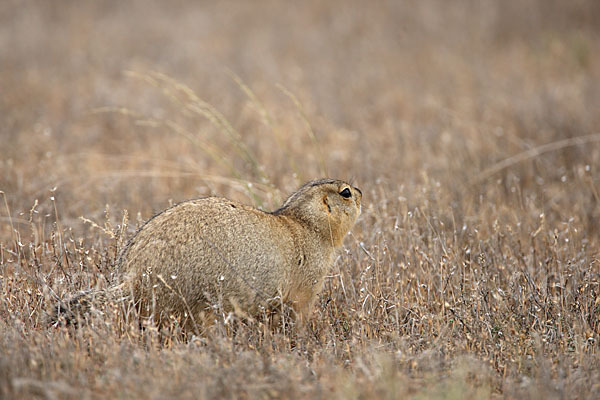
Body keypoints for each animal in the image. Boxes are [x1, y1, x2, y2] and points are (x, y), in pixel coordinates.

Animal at [51, 180, 358, 330]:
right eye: (346, 193)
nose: (362, 192)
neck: (306, 223)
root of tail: (132, 279)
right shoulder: (309, 285)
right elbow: (300, 312)